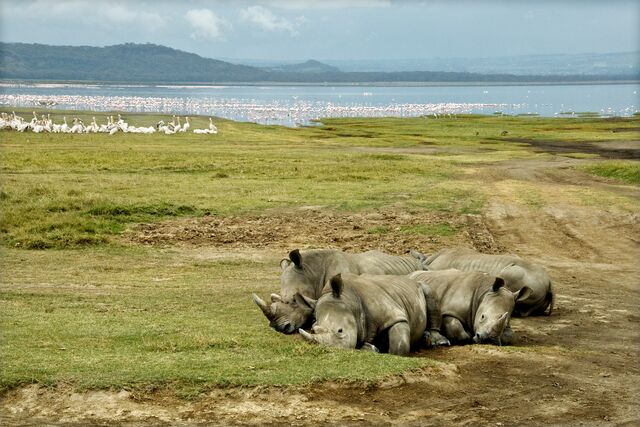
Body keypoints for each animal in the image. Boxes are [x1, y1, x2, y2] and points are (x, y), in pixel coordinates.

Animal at [297, 273, 448, 355]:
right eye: (312, 330)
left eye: (340, 330)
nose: (331, 349)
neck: (350, 301)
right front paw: (372, 348)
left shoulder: (394, 315)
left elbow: (399, 346)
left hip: (420, 285)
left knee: (428, 291)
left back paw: (438, 341)